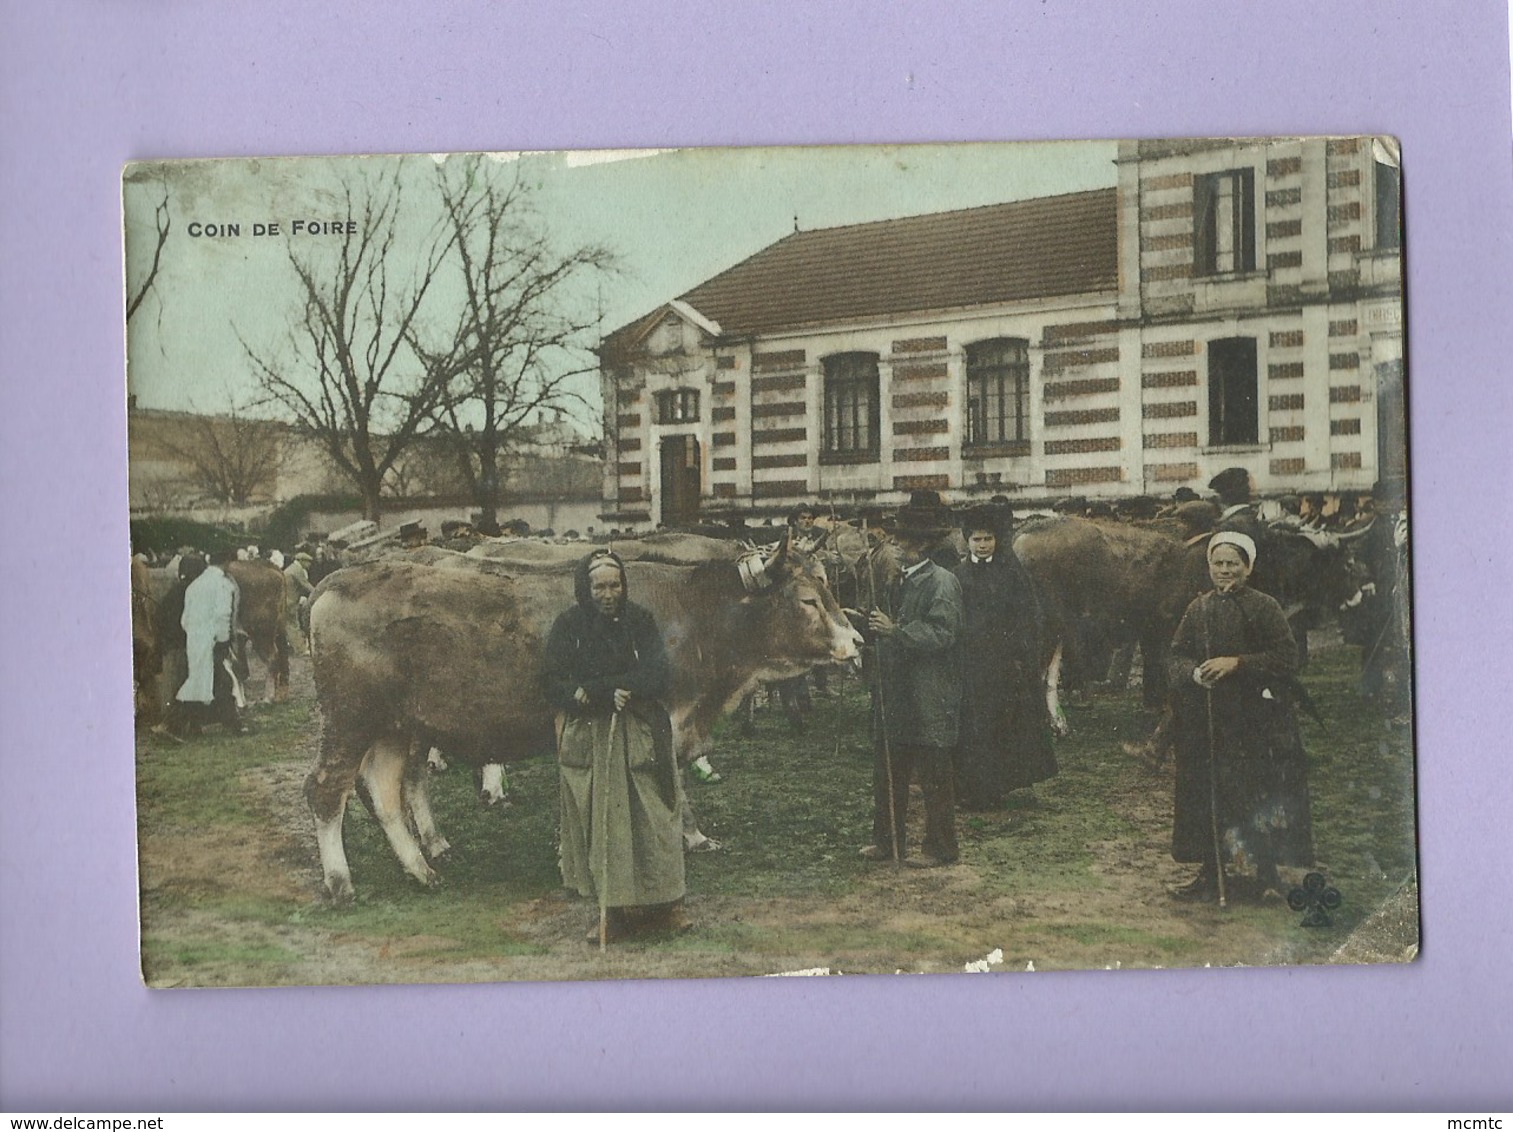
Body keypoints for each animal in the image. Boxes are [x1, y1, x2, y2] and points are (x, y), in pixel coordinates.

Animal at [304, 535, 865, 895]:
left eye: (829, 586)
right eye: (808, 599)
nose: (857, 640)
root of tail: (337, 579)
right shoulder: (664, 716)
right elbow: (669, 782)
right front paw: (680, 837)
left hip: (394, 728)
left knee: (385, 791)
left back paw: (421, 867)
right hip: (351, 720)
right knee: (327, 789)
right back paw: (340, 881)